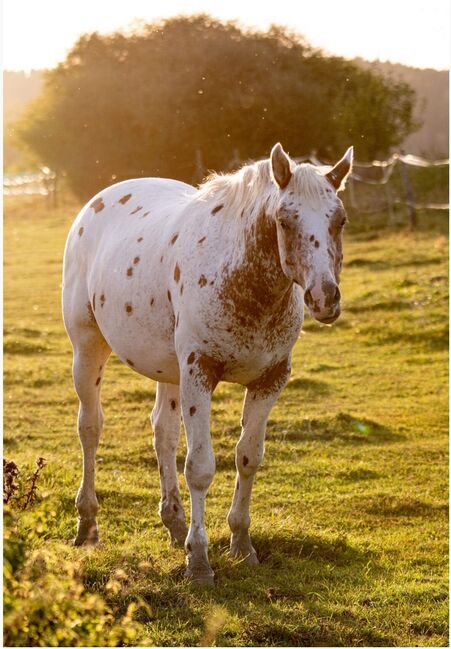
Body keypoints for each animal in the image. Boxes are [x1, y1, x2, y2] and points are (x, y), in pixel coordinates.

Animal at [62, 144, 354, 584]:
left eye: (340, 220)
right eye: (284, 220)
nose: (324, 297)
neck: (243, 281)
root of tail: (98, 202)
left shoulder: (270, 380)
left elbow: (248, 457)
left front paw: (241, 545)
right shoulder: (200, 373)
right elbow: (199, 467)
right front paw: (199, 562)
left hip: (169, 370)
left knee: (163, 434)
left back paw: (174, 522)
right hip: (88, 347)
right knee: (91, 428)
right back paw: (88, 524)